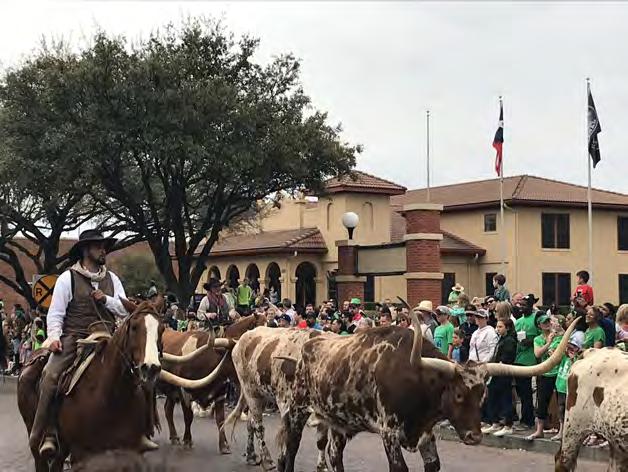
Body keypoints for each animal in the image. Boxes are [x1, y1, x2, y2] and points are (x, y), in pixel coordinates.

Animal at [15, 300, 227, 470]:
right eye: (134, 327)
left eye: (161, 330)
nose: (151, 368)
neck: (109, 396)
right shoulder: (81, 454)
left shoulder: (130, 450)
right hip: (37, 437)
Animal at [159, 312, 268, 452]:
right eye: (235, 357)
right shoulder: (184, 392)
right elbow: (188, 417)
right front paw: (187, 440)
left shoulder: (220, 394)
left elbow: (220, 420)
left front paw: (224, 445)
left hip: (171, 392)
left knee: (167, 409)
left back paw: (174, 437)